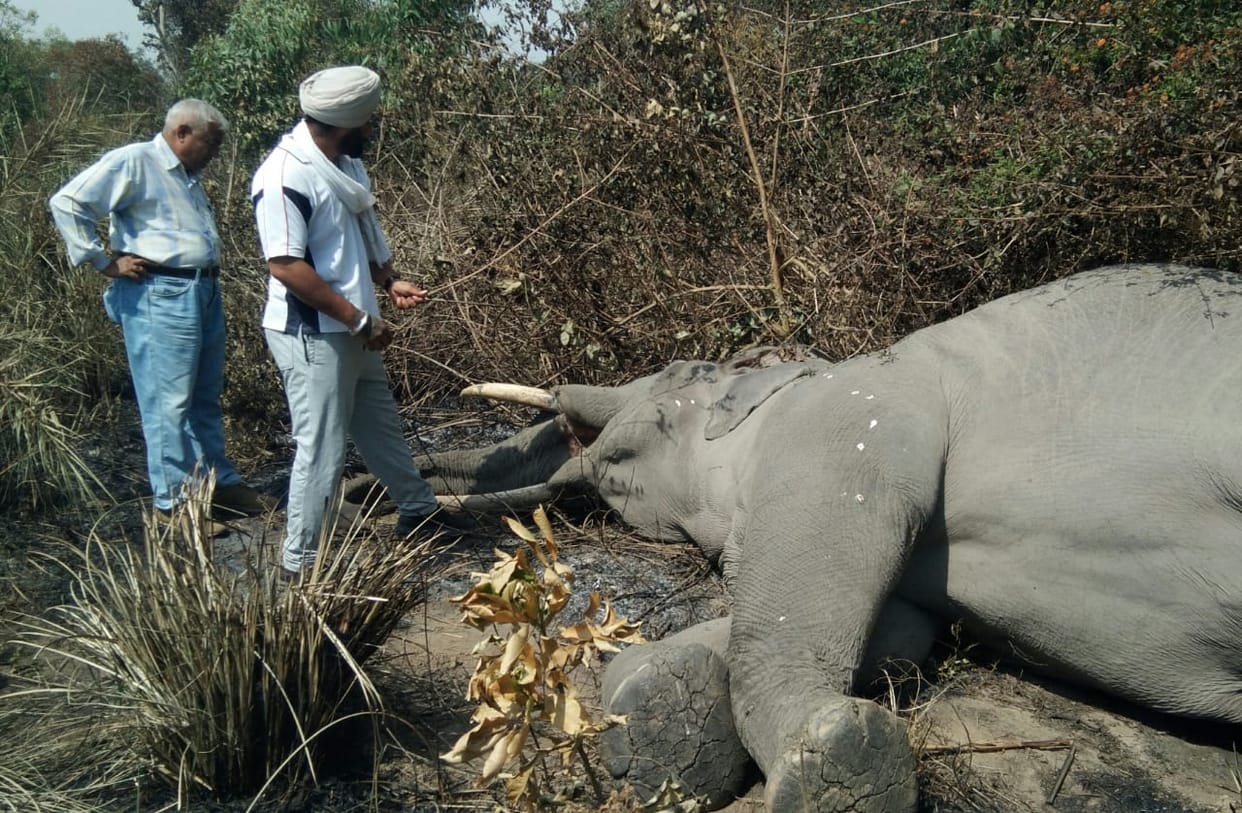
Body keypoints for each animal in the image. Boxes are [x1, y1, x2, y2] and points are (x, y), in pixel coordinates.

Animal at [361, 263, 1242, 810]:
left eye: (675, 378)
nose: (365, 496)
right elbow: (897, 631)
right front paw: (658, 707)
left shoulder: (851, 423)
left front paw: (839, 764)